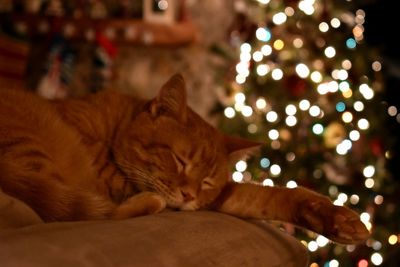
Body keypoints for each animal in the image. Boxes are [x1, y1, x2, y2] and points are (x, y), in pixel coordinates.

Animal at [0, 74, 368, 245]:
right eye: (179, 160)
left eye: (206, 181)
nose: (189, 195)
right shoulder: (88, 146)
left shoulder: (218, 197)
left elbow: (272, 195)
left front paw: (334, 217)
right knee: (73, 213)